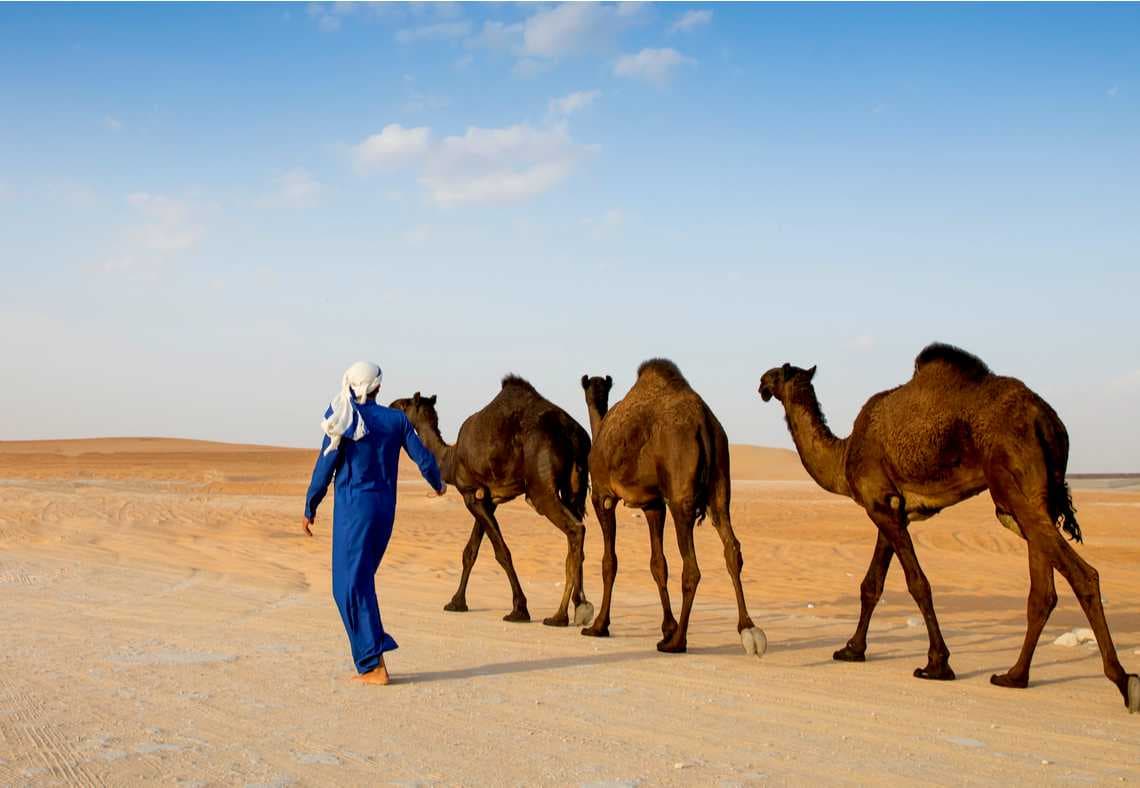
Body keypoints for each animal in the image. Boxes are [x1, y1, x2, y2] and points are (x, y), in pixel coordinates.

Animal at [390, 377, 594, 627]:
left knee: (575, 529)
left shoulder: (470, 494)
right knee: (576, 538)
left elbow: (501, 551)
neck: (451, 458)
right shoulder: (487, 499)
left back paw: (562, 614)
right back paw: (577, 607)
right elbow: (471, 551)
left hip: (541, 489)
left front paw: (519, 609)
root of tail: (573, 435)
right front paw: (456, 602)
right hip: (575, 487)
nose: (389, 405)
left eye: (403, 405)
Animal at [580, 361, 767, 656]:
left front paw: (599, 625)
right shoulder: (653, 504)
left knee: (692, 567)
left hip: (680, 496)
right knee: (732, 549)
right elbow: (658, 564)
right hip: (720, 485)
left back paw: (678, 642)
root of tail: (704, 423)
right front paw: (667, 627)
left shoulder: (602, 495)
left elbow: (610, 562)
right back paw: (747, 629)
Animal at [758, 342, 1139, 712]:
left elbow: (917, 583)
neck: (844, 453)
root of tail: (1045, 418)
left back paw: (1123, 682)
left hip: (1010, 482)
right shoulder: (893, 509)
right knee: (1043, 588)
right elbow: (871, 585)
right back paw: (1014, 676)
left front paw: (936, 665)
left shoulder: (880, 505)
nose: (760, 383)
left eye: (777, 373)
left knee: (1083, 574)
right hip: (1030, 495)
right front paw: (852, 649)